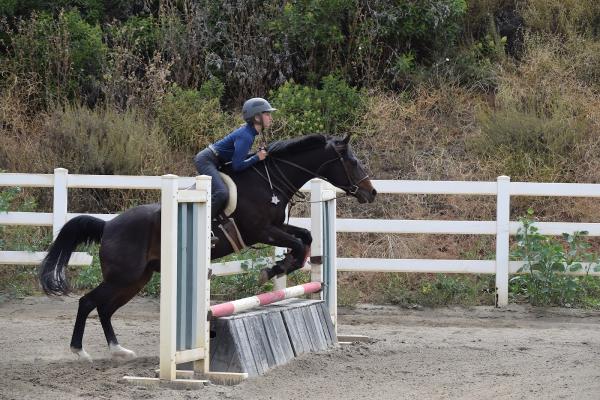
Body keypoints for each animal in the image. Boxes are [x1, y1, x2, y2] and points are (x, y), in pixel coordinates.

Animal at [37, 133, 376, 360]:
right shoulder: (262, 231)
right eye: (352, 161)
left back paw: (119, 350)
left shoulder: (275, 229)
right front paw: (272, 271)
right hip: (123, 277)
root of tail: (108, 226)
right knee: (88, 303)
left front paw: (279, 267)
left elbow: (304, 239)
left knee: (105, 308)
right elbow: (297, 243)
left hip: (136, 280)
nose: (371, 193)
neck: (270, 181)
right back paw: (79, 351)